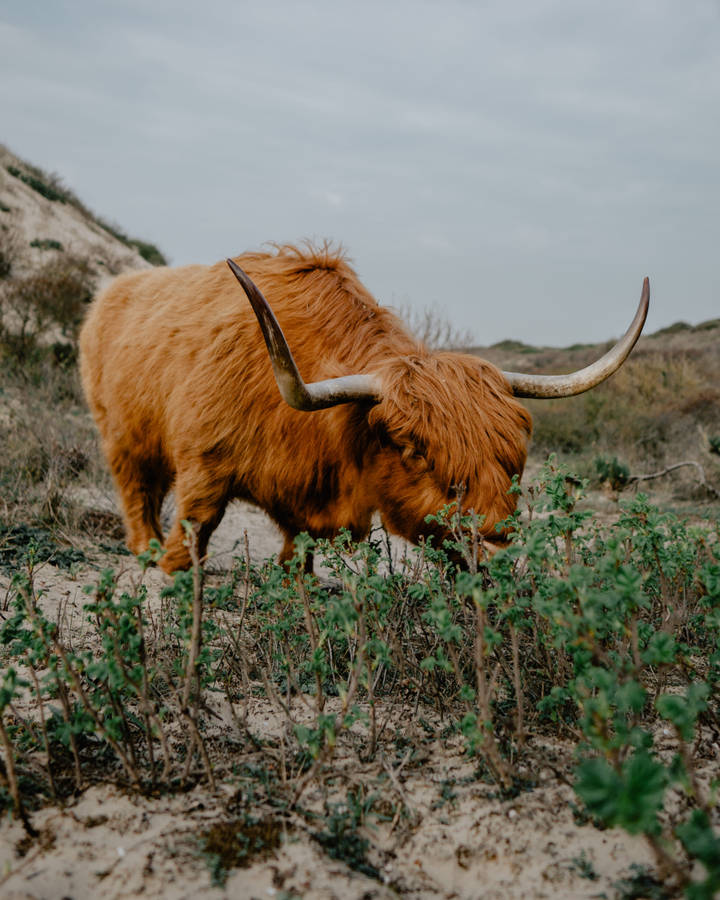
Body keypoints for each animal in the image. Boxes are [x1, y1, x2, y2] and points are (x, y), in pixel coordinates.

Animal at [79, 243, 648, 572]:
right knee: (137, 489)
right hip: (122, 434)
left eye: (514, 456)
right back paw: (146, 549)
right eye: (415, 451)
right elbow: (196, 526)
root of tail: (110, 293)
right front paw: (175, 569)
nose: (492, 542)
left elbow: (299, 550)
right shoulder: (204, 462)